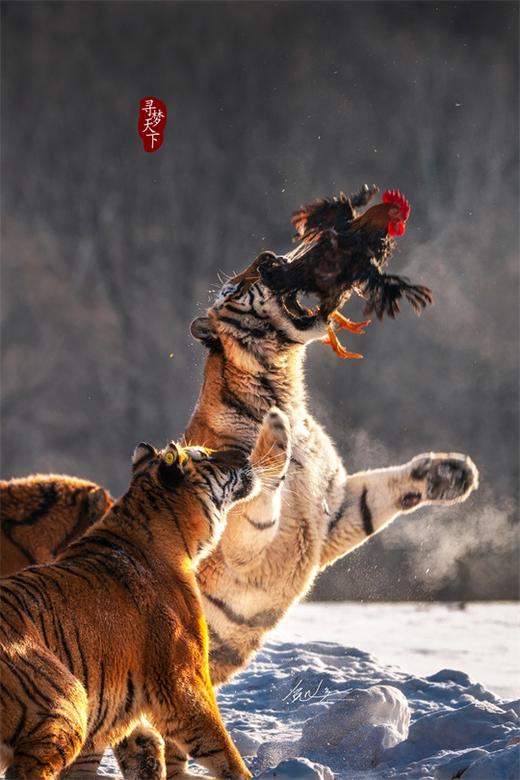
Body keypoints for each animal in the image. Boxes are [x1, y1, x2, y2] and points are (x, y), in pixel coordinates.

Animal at [0, 408, 292, 780]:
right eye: (207, 455)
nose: (243, 454)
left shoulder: (123, 706)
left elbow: (142, 751)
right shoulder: (184, 680)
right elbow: (219, 745)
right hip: (66, 703)